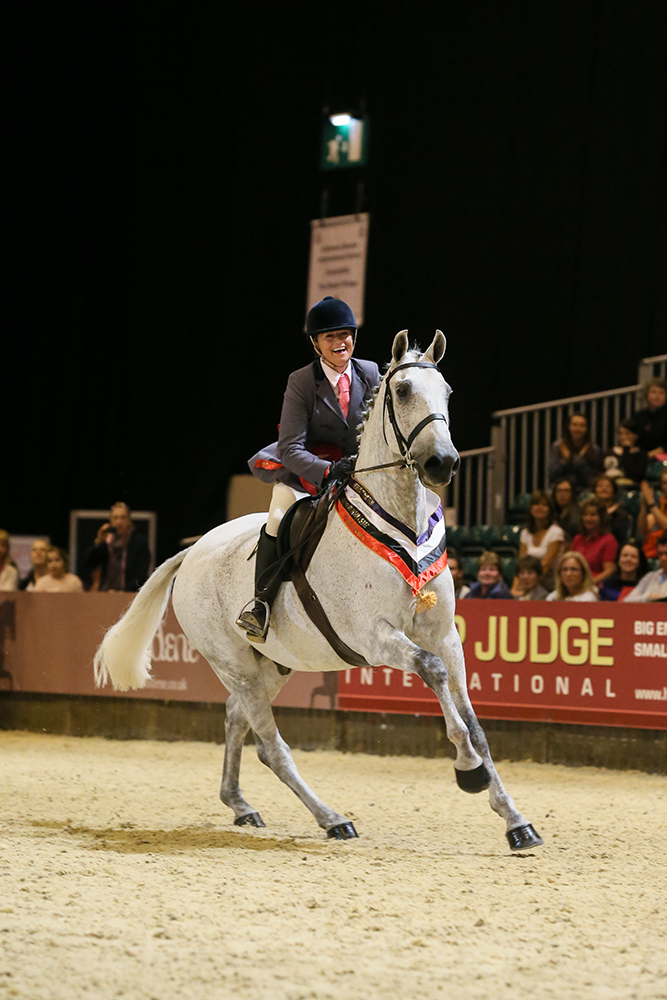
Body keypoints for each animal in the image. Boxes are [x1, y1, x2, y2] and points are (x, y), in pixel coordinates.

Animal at [94, 331, 543, 852]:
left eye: (447, 392)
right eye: (403, 391)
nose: (442, 464)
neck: (403, 523)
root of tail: (192, 552)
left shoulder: (445, 636)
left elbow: (475, 723)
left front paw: (516, 821)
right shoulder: (375, 637)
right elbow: (430, 672)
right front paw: (468, 770)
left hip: (272, 664)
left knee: (237, 719)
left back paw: (241, 805)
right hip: (234, 663)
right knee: (272, 746)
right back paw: (332, 819)